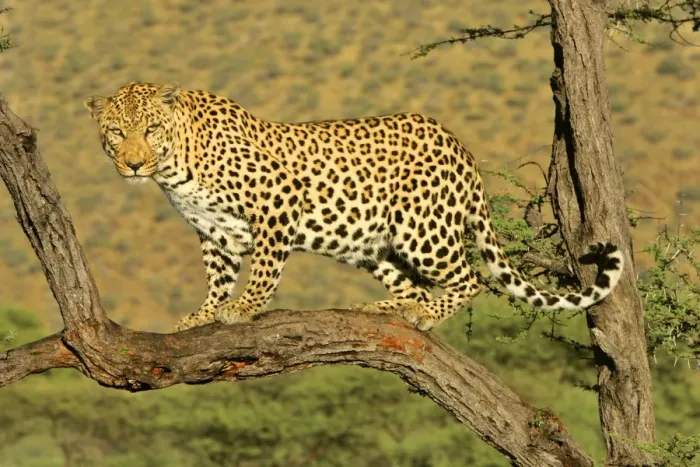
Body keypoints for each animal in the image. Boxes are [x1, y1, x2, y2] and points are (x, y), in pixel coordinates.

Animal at [83, 82, 624, 332]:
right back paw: (379, 306)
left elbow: (263, 270)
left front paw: (245, 307)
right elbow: (217, 277)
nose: (133, 164)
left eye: (151, 129)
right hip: (368, 241)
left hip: (421, 228)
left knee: (466, 280)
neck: (175, 165)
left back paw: (425, 315)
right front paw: (204, 314)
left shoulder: (277, 201)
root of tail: (461, 149)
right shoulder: (214, 230)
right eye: (117, 133)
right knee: (413, 287)